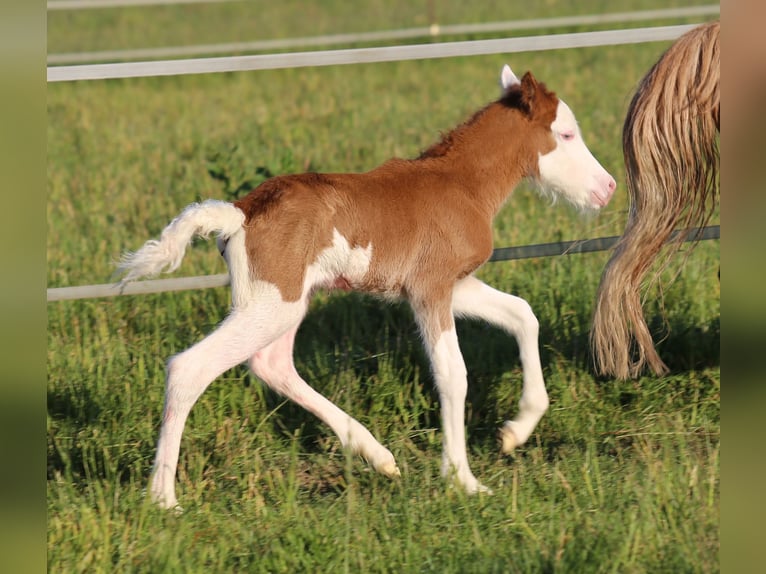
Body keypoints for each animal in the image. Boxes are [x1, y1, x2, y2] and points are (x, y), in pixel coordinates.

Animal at [117, 64, 616, 509]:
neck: (460, 183)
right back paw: (162, 499)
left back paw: (376, 455)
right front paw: (463, 480)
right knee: (189, 367)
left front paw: (515, 431)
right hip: (273, 303)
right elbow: (452, 374)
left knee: (271, 363)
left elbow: (522, 315)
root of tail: (240, 213)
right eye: (566, 135)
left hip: (287, 301)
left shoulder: (452, 284)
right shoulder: (430, 288)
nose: (608, 187)